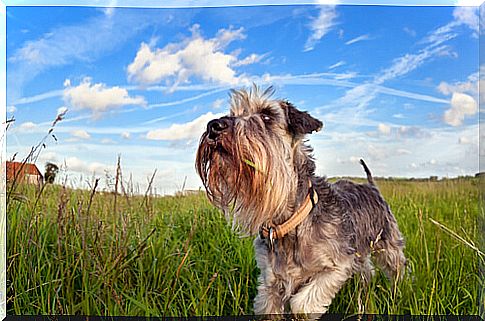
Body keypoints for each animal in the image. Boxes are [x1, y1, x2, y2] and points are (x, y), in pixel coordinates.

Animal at [195, 86, 406, 316]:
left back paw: (399, 293)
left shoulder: (337, 265)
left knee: (396, 270)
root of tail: (371, 186)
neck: (289, 222)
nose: (214, 126)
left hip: (389, 246)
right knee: (367, 271)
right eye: (233, 113)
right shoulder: (270, 283)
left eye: (267, 116)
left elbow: (303, 304)